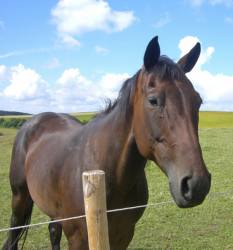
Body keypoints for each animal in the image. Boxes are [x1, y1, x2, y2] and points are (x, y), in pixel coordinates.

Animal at [2, 36, 211, 249]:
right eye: (153, 100)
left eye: (198, 101)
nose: (197, 184)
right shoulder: (78, 238)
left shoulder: (124, 233)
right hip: (19, 199)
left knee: (53, 230)